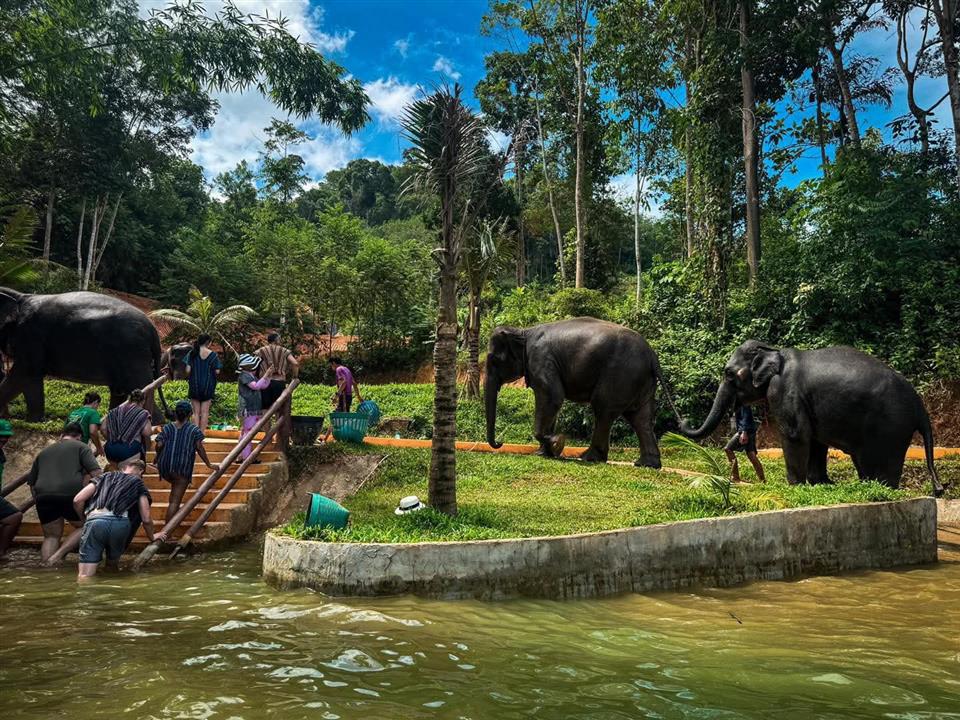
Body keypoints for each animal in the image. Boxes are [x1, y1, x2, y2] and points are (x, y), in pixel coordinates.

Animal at [0, 288, 169, 421]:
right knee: (120, 391)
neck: (19, 297)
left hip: (131, 354)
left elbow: (23, 375)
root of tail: (154, 332)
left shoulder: (31, 337)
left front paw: (30, 421)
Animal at [485, 317, 681, 467]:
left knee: (604, 410)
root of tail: (652, 355)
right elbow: (552, 402)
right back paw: (646, 464)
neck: (523, 332)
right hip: (641, 380)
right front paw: (543, 453)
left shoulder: (541, 359)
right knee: (640, 419)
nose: (500, 443)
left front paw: (557, 443)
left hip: (620, 375)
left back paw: (588, 458)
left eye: (493, 360)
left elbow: (552, 397)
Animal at [679, 340, 944, 496]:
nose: (683, 420)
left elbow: (796, 434)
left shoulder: (784, 391)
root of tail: (920, 407)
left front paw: (795, 485)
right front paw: (821, 484)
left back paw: (877, 487)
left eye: (728, 373)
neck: (774, 350)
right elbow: (816, 440)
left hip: (889, 428)